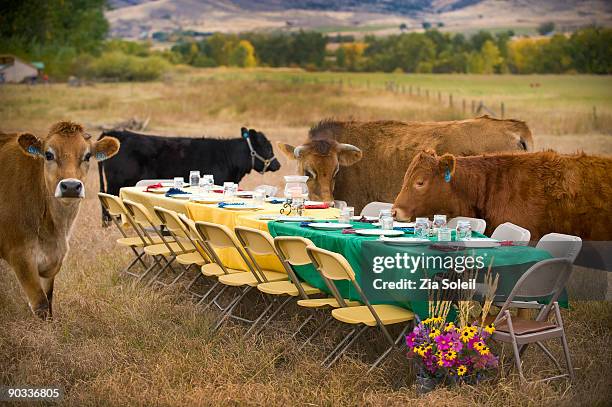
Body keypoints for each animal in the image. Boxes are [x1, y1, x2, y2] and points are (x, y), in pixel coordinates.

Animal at [0, 121, 119, 318]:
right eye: (48, 154)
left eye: (87, 156)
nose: (70, 186)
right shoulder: (19, 255)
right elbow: (41, 305)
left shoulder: (53, 260)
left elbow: (49, 301)